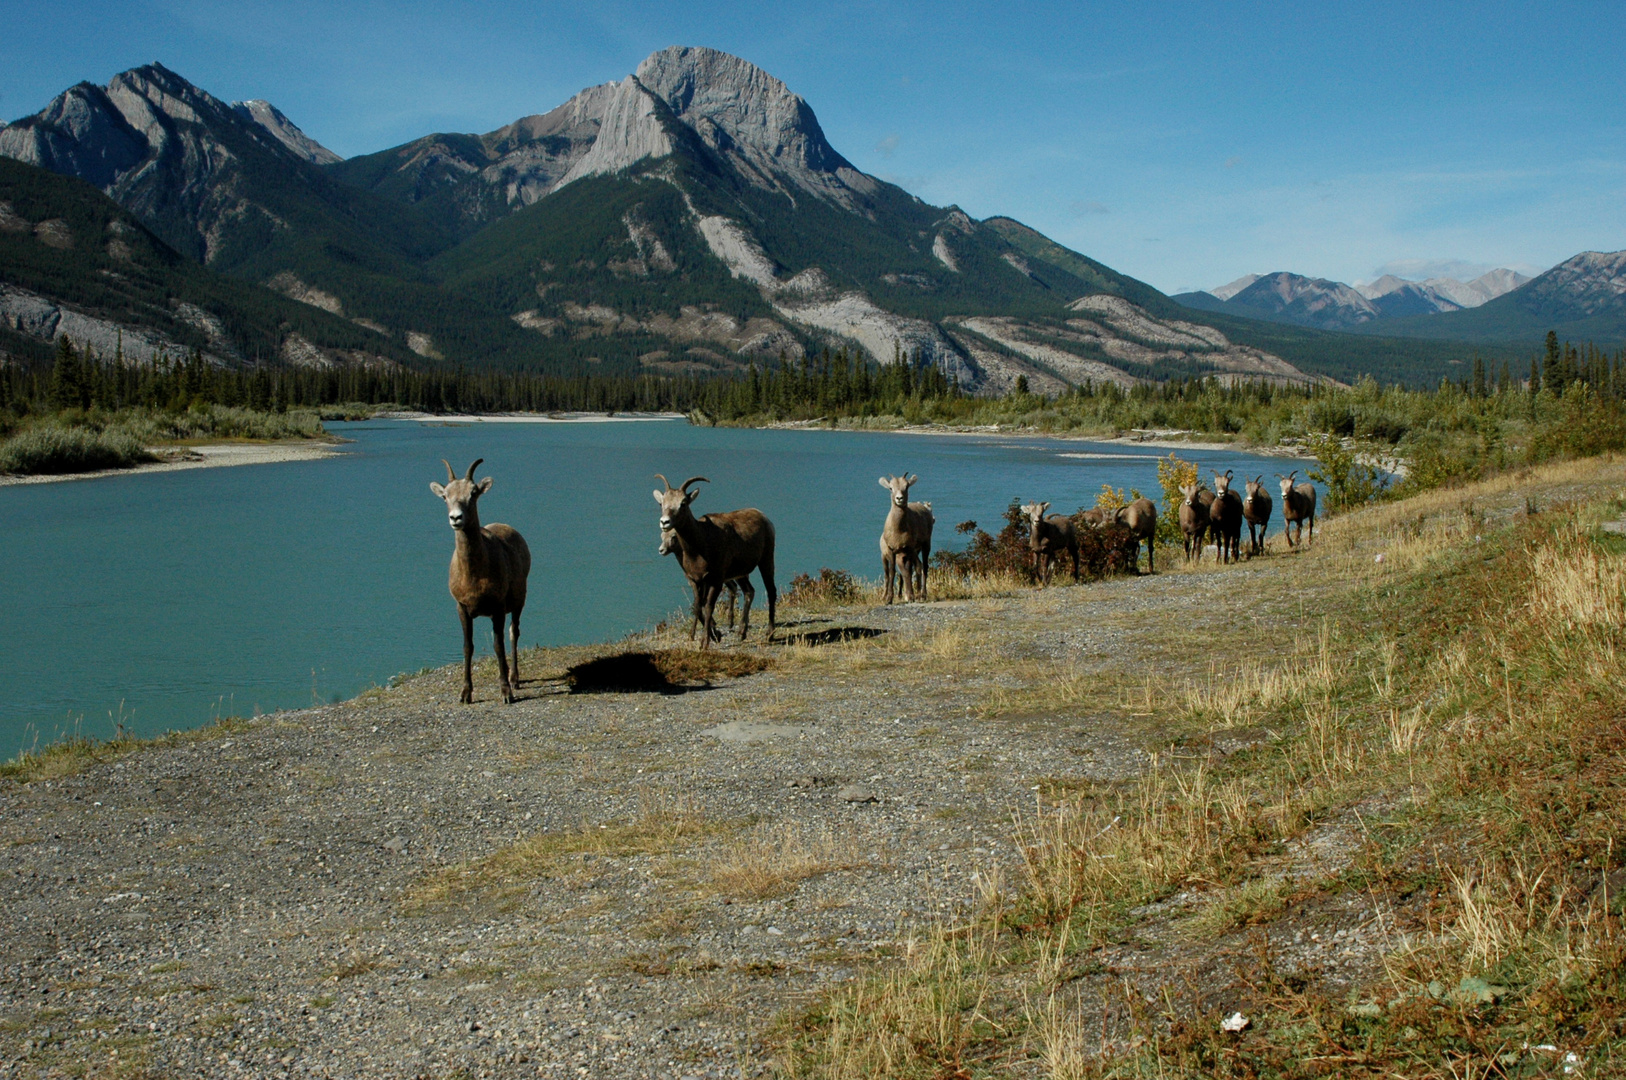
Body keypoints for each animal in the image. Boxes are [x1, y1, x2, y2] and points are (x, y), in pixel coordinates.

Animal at [429, 458, 530, 705]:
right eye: (445, 496)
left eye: (473, 493)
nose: (456, 518)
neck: (474, 576)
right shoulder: (462, 608)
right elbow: (468, 647)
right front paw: (465, 694)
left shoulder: (497, 608)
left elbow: (498, 646)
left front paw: (506, 693)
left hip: (518, 602)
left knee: (513, 633)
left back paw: (514, 679)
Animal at [650, 474, 777, 650]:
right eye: (662, 503)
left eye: (683, 503)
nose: (665, 522)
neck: (701, 545)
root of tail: (764, 517)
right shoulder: (696, 580)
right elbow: (698, 605)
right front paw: (714, 635)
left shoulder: (715, 580)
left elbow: (709, 606)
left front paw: (705, 642)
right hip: (741, 574)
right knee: (749, 592)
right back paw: (741, 633)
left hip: (766, 560)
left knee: (771, 591)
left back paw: (769, 635)